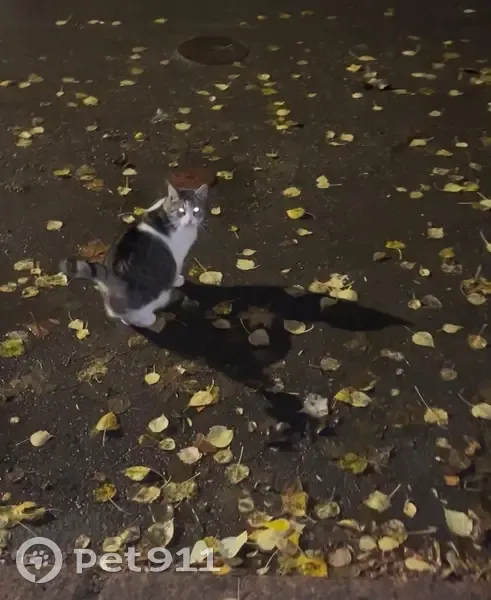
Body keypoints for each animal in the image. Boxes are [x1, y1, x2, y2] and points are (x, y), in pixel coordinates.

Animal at [60, 181, 208, 328]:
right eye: (181, 211)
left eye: (196, 210)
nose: (190, 220)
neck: (166, 216)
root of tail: (114, 273)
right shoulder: (178, 257)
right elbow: (176, 271)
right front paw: (178, 280)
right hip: (155, 296)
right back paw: (149, 319)